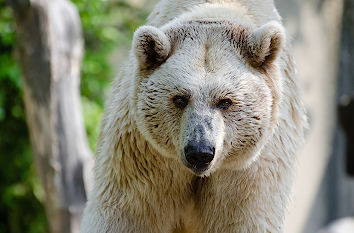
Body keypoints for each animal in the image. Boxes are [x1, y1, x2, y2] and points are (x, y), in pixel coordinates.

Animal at [80, 0, 306, 232]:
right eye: (180, 98)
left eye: (225, 101)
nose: (199, 152)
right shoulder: (142, 153)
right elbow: (127, 213)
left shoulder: (250, 169)